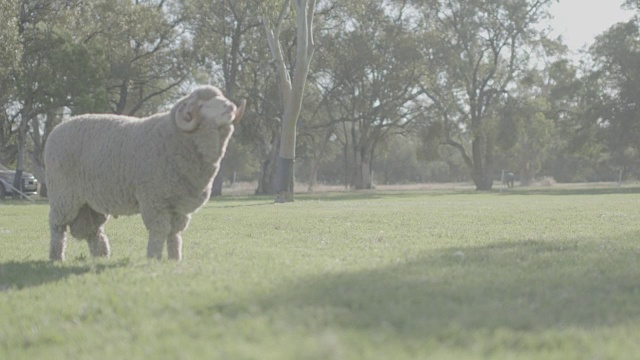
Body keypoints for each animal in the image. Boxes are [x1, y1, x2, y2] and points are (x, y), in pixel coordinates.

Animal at [44, 86, 245, 260]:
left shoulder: (179, 203)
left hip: (89, 202)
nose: (231, 106)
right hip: (64, 196)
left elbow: (175, 232)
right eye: (203, 105)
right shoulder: (154, 199)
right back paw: (57, 257)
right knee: (57, 226)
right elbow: (160, 230)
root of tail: (56, 130)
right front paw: (154, 258)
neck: (174, 138)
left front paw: (175, 258)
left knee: (94, 230)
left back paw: (101, 256)